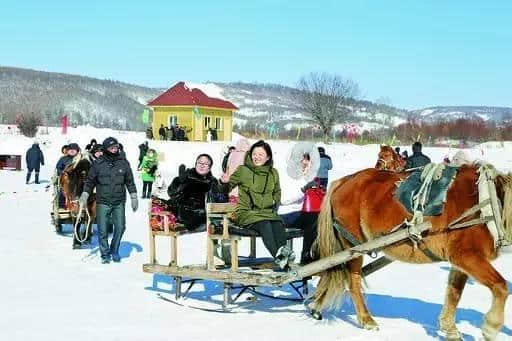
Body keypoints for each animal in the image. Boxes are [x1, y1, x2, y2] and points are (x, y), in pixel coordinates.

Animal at [312, 164, 512, 338]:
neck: (486, 204)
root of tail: (344, 181)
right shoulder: (467, 256)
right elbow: (501, 286)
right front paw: (490, 328)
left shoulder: (460, 261)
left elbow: (454, 293)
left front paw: (449, 328)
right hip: (352, 247)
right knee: (353, 281)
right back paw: (366, 319)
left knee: (331, 275)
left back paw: (316, 304)